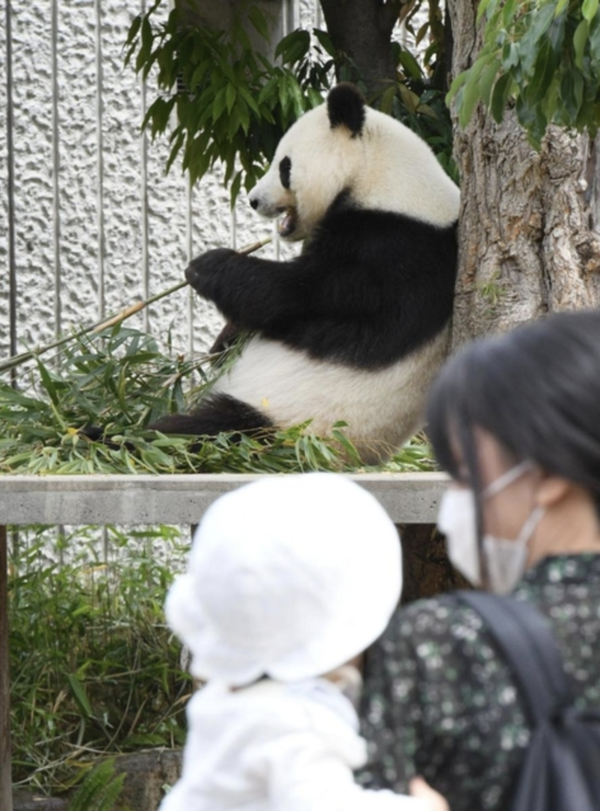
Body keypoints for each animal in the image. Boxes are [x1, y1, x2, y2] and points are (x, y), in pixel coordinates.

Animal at [154, 84, 460, 464]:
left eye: (284, 165)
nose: (253, 200)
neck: (385, 181)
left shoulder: (393, 251)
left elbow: (292, 295)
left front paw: (204, 266)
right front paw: (221, 341)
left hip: (279, 420)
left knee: (191, 433)